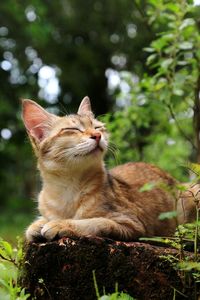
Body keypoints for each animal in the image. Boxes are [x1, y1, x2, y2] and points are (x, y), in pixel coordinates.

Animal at [22, 97, 197, 243]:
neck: (68, 189)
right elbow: (35, 225)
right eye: (73, 129)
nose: (97, 135)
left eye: (98, 127)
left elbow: (94, 222)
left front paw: (60, 224)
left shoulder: (131, 223)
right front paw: (38, 224)